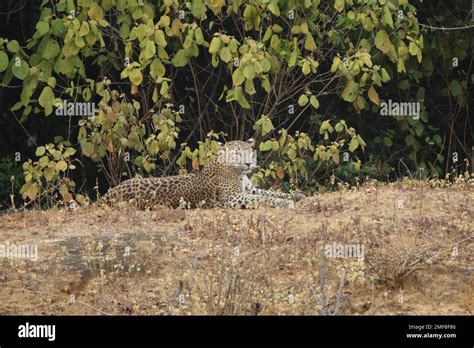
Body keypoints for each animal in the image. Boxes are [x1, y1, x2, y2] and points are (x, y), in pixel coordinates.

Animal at [101, 139, 304, 209]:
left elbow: (270, 192)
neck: (239, 173)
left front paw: (296, 196)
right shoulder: (233, 197)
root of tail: (108, 193)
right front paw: (285, 203)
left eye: (249, 152)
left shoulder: (249, 190)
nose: (249, 163)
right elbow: (264, 198)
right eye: (237, 154)